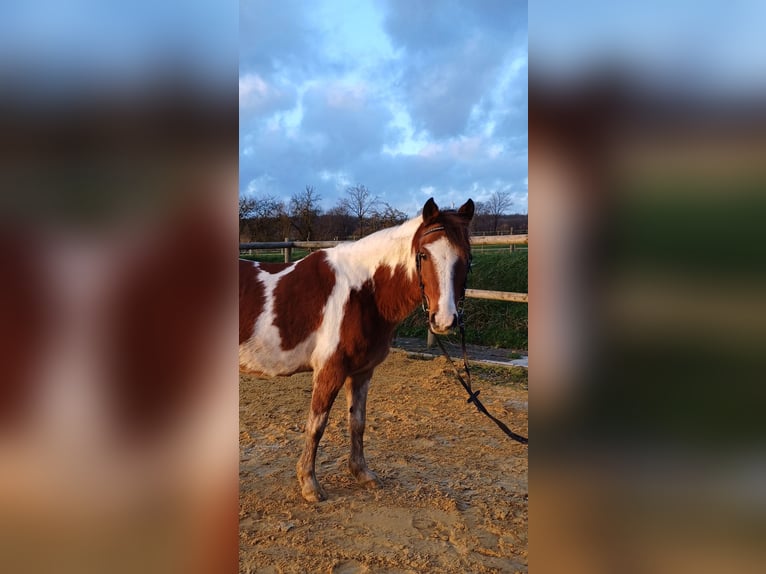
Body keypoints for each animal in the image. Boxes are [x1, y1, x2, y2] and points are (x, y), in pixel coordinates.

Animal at [240, 197, 474, 500]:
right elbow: (316, 425)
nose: (444, 320)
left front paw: (362, 473)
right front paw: (310, 484)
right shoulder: (330, 370)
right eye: (423, 255)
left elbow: (358, 422)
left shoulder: (362, 371)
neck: (362, 291)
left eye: (467, 259)